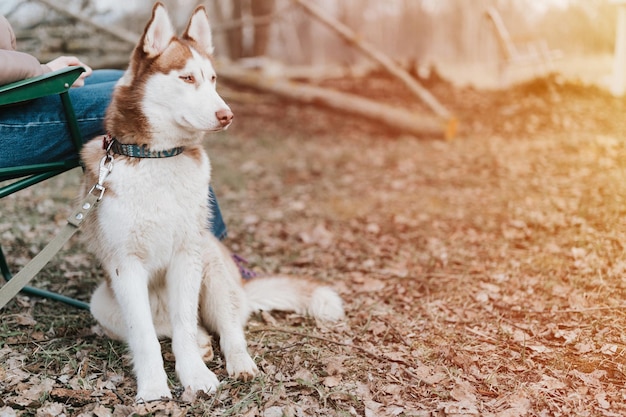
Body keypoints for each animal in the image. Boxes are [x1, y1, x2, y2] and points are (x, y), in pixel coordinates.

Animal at [79, 1, 342, 402]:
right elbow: (145, 335)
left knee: (229, 330)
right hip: (102, 302)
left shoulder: (188, 254)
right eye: (187, 78)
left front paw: (195, 376)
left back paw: (238, 362)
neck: (159, 158)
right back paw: (202, 342)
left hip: (213, 268)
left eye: (214, 79)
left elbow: (186, 325)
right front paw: (153, 387)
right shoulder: (125, 264)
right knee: (163, 326)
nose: (227, 114)